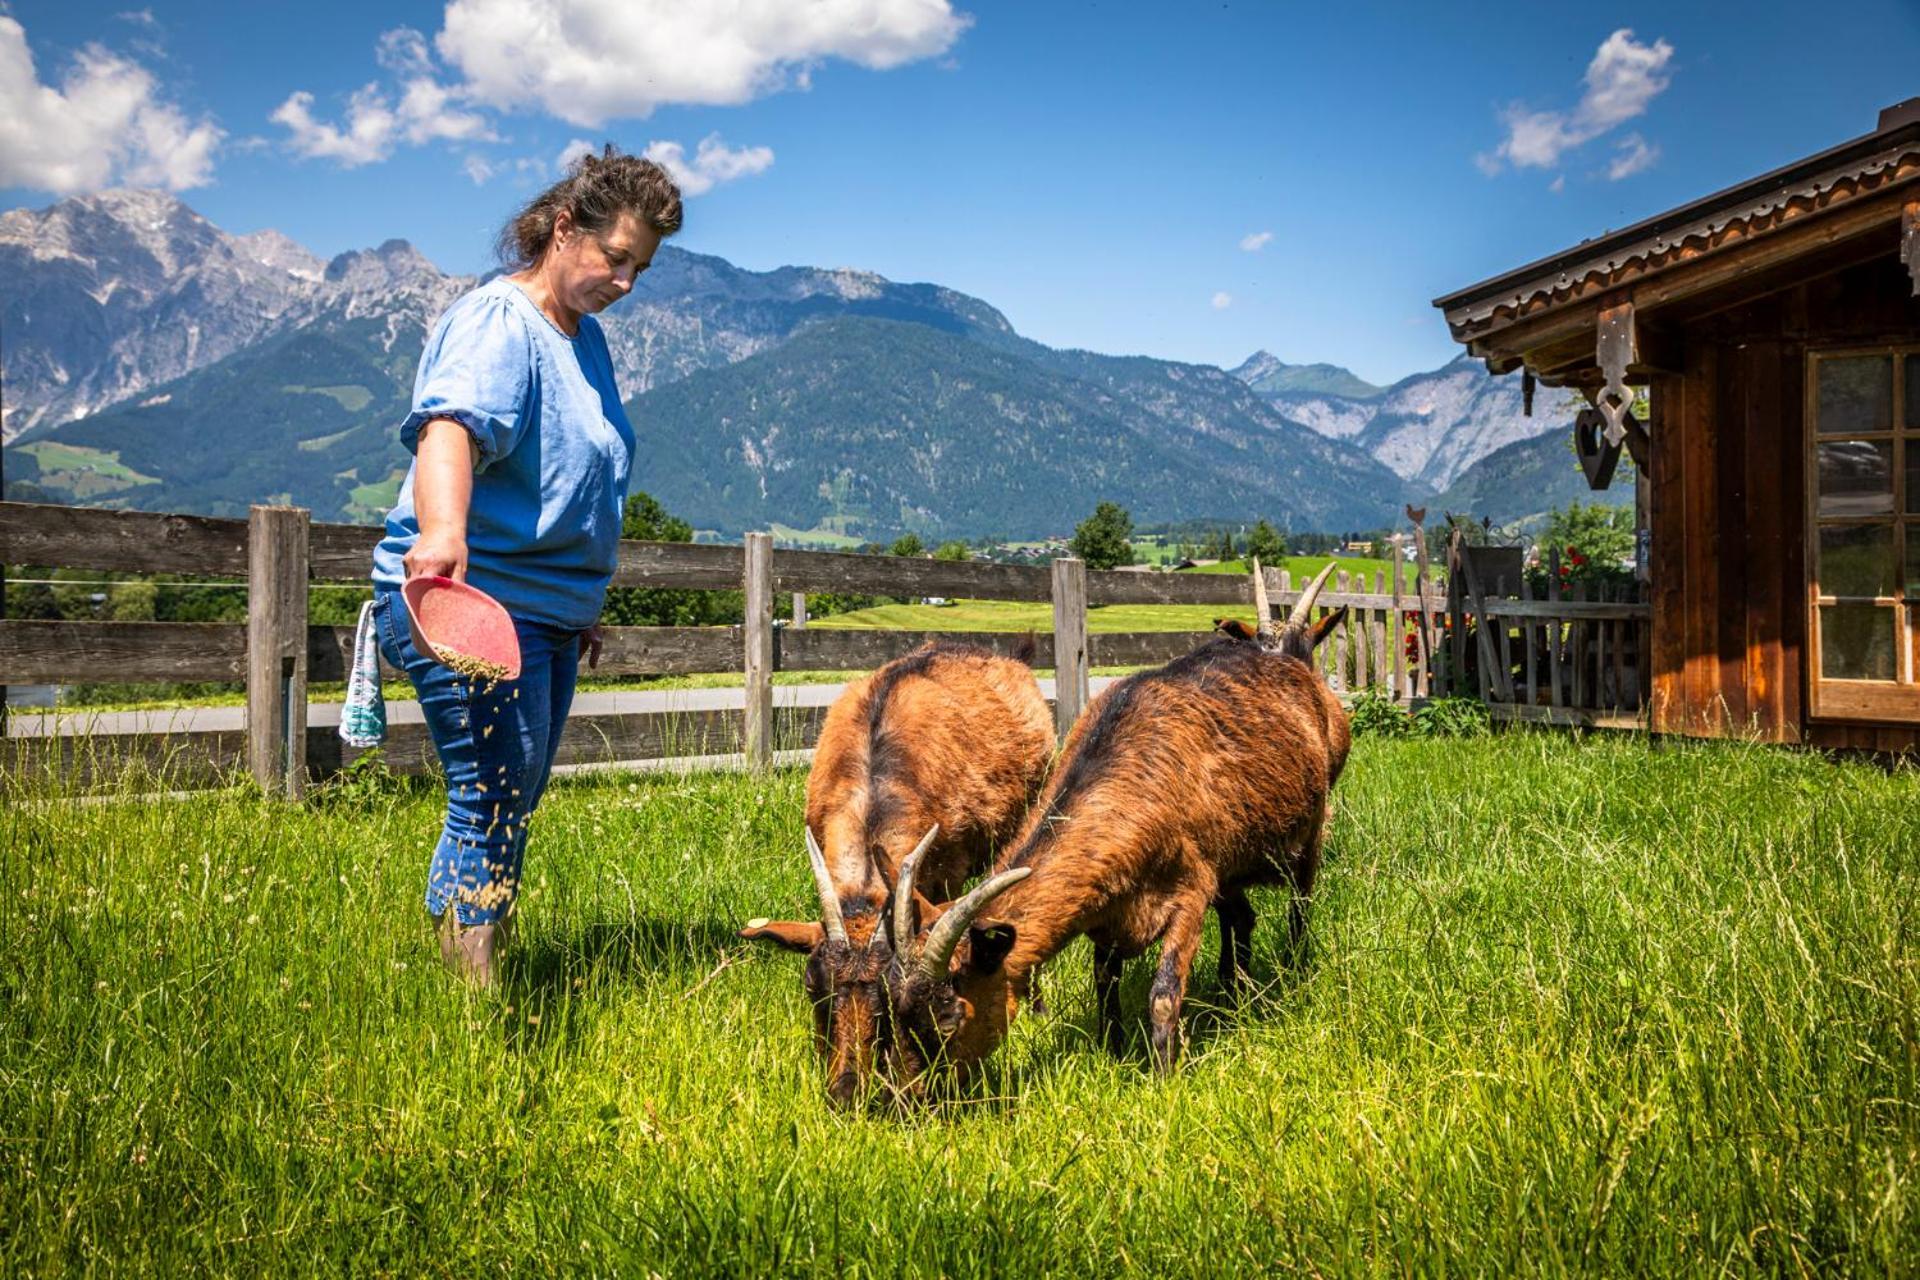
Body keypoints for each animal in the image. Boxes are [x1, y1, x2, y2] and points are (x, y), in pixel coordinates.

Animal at [883, 564, 1351, 1097]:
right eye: (895, 1011)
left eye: (949, 1017)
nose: (909, 1096)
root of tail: (1293, 665)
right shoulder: (1109, 911)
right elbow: (1104, 983)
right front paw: (1113, 1050)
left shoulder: (1192, 891)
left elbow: (1164, 992)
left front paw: (1165, 1079)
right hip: (1230, 862)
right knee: (1243, 917)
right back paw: (1233, 992)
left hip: (1309, 834)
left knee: (1300, 905)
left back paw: (1291, 972)